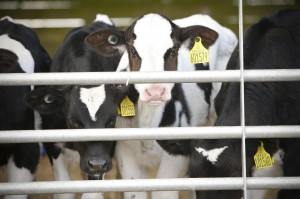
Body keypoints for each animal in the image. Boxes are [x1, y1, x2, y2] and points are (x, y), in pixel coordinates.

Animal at [85, 13, 238, 198]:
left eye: (172, 50)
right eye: (133, 51)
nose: (155, 91)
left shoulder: (177, 154)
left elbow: (163, 192)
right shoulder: (126, 153)